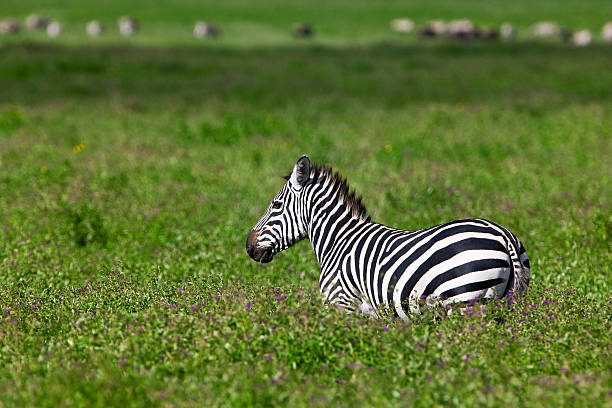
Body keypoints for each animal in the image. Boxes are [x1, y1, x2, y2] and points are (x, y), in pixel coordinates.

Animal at [245, 155, 532, 318]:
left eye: (276, 205)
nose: (249, 247)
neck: (338, 240)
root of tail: (502, 235)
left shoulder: (341, 304)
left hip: (463, 301)